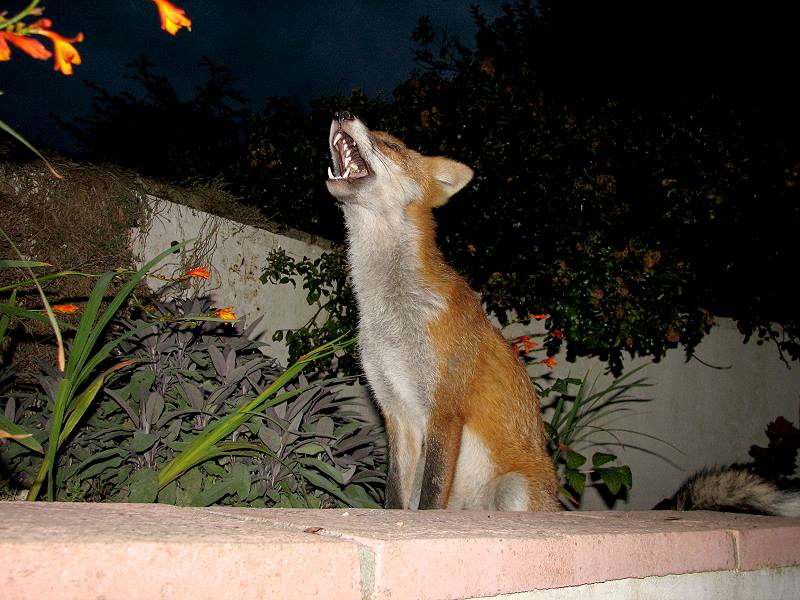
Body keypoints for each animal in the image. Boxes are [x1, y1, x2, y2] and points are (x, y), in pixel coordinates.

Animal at [325, 111, 560, 511]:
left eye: (391, 145)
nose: (342, 113)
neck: (394, 317)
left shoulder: (444, 410)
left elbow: (431, 496)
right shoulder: (397, 413)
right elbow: (396, 494)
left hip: (513, 489)